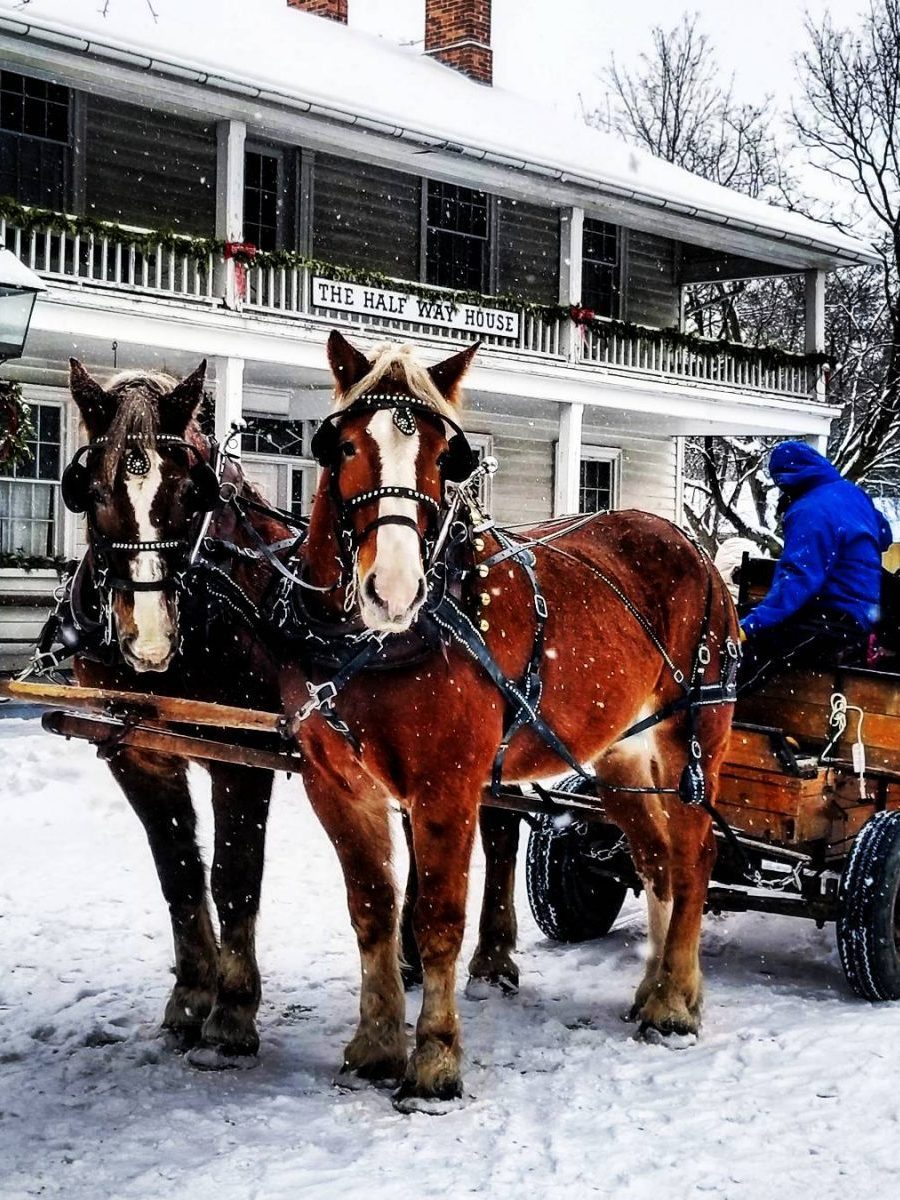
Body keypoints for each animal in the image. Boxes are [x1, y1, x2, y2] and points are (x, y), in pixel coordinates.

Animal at [286, 333, 739, 1108]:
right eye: (343, 445)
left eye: (446, 456)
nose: (394, 589)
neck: (378, 644)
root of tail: (695, 550)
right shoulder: (336, 784)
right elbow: (372, 911)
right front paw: (375, 1044)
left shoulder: (446, 787)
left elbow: (437, 918)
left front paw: (435, 1060)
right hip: (619, 758)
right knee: (656, 861)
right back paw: (655, 988)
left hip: (692, 740)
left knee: (693, 854)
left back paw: (677, 1001)